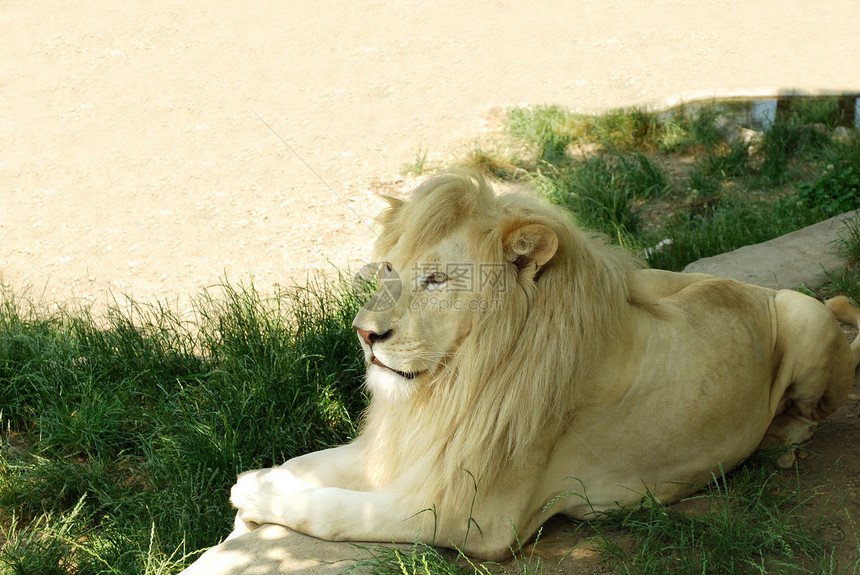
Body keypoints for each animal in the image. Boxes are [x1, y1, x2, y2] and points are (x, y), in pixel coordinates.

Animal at [230, 171, 860, 560]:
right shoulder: (411, 454)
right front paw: (258, 489)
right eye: (388, 269)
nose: (364, 333)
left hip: (803, 311)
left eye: (437, 279)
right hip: (659, 281)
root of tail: (754, 288)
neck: (451, 385)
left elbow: (338, 509)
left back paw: (778, 439)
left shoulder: (474, 517)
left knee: (812, 413)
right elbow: (310, 464)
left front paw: (253, 495)